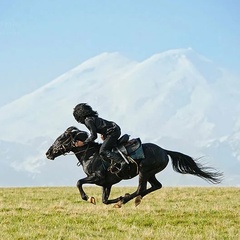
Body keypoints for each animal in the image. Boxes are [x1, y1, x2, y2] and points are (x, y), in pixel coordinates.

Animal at [46, 126, 223, 207]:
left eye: (61, 138)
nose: (48, 153)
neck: (90, 155)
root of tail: (164, 151)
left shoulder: (97, 177)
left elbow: (78, 182)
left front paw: (88, 198)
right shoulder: (106, 183)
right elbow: (105, 200)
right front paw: (116, 198)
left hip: (144, 171)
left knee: (141, 188)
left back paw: (126, 200)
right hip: (151, 173)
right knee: (155, 186)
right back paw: (129, 199)